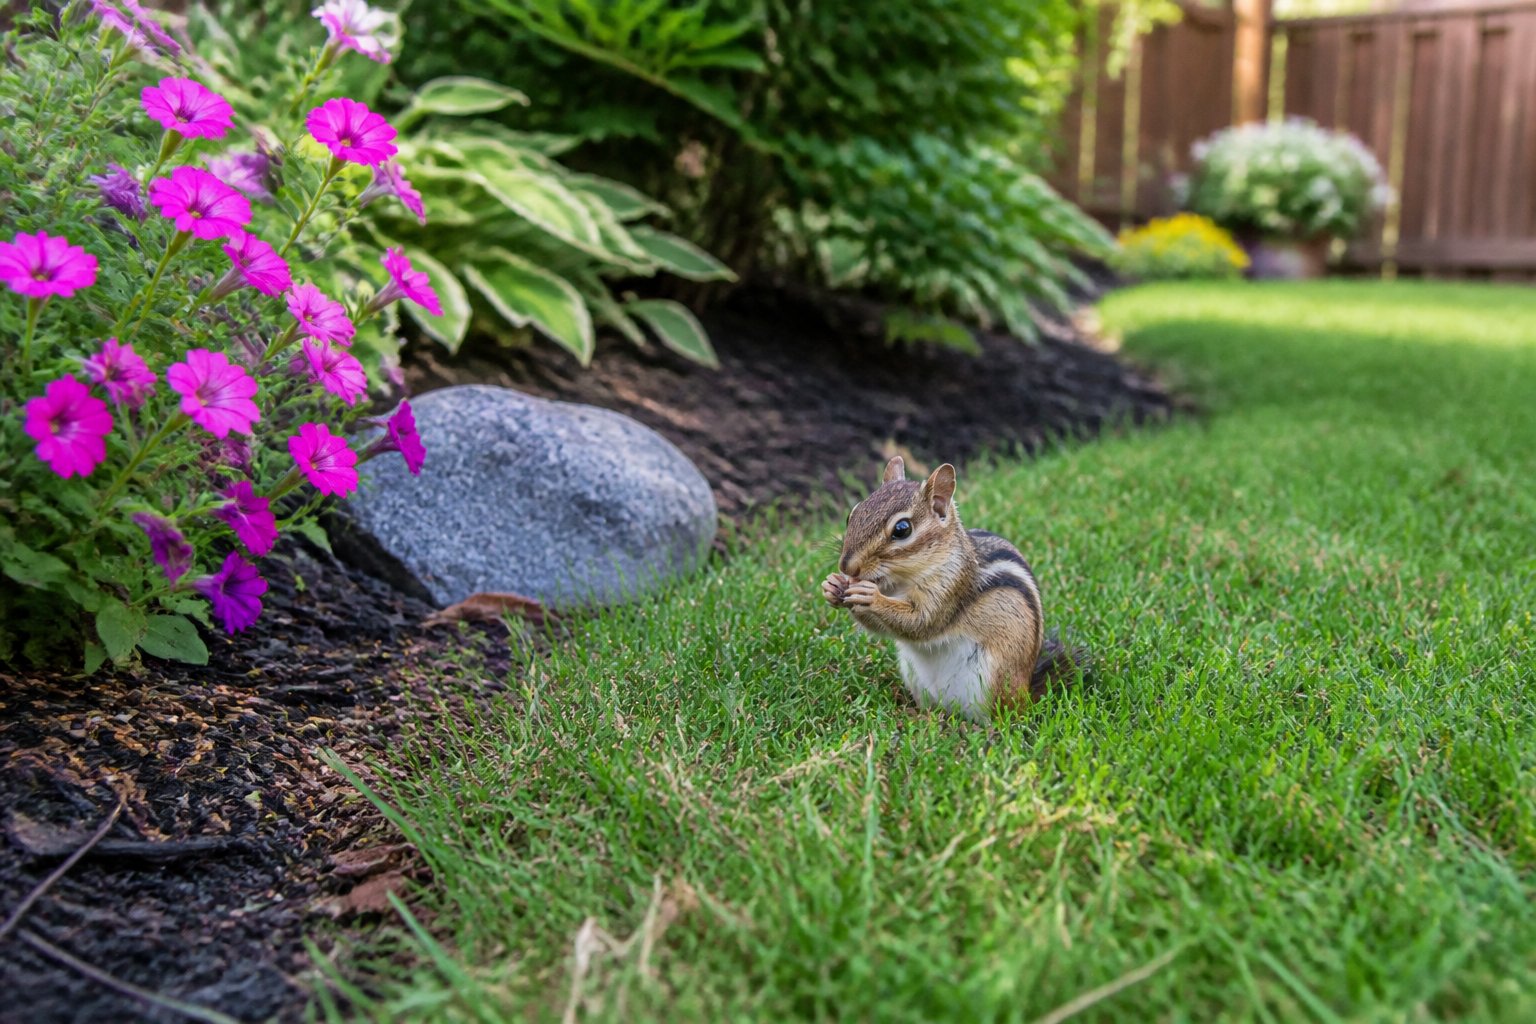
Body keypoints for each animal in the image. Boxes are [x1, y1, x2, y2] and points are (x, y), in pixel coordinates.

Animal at [821, 456, 1081, 722]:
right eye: (851, 515)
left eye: (902, 529)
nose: (847, 566)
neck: (900, 582)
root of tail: (1027, 692)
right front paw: (832, 585)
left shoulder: (951, 588)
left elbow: (921, 622)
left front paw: (871, 597)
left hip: (994, 681)